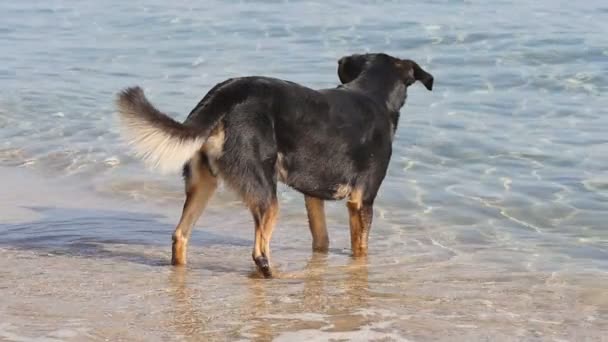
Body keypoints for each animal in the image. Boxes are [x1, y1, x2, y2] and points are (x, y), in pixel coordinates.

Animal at [115, 53, 432, 278]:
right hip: (265, 192)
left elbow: (322, 240)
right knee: (259, 252)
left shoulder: (313, 196)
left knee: (180, 235)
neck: (370, 93)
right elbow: (361, 249)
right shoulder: (362, 200)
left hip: (203, 183)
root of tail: (225, 93)